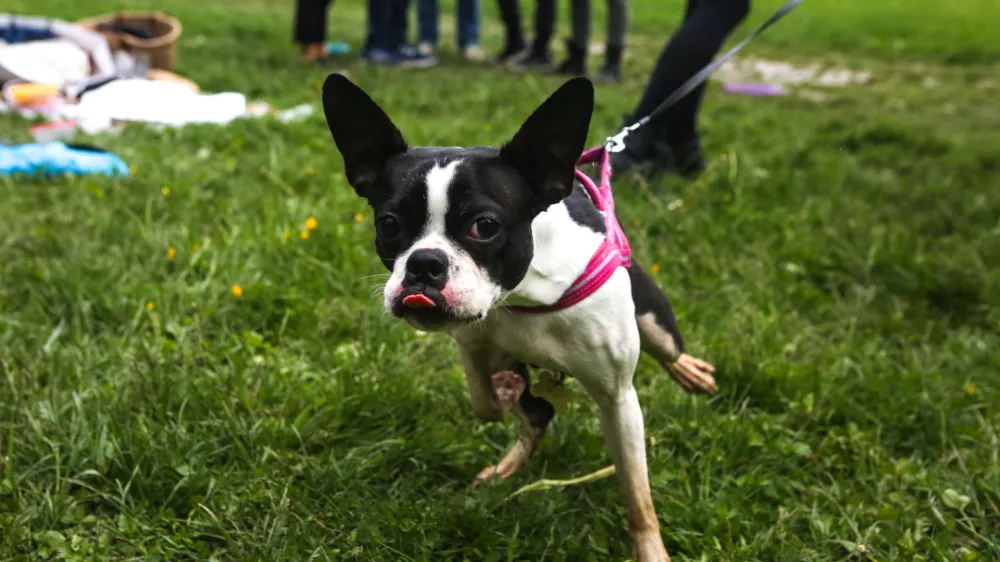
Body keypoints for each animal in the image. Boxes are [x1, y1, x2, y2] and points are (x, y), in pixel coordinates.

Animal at [324, 74, 724, 560]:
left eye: (484, 226)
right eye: (387, 224)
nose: (423, 264)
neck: (526, 294)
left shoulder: (618, 399)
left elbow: (638, 495)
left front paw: (651, 551)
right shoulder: (473, 342)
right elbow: (485, 401)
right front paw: (505, 391)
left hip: (651, 316)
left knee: (665, 347)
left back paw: (690, 371)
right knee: (536, 418)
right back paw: (506, 458)